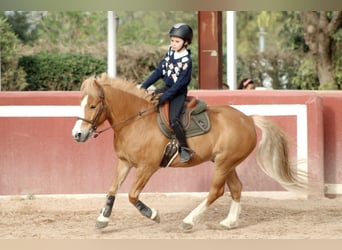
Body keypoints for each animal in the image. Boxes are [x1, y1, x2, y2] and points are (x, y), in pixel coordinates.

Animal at [72, 72, 308, 230]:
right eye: (81, 104)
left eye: (92, 106)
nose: (77, 135)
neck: (135, 121)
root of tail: (248, 119)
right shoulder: (124, 162)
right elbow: (112, 189)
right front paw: (103, 219)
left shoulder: (147, 167)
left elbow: (132, 195)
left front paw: (153, 214)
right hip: (226, 163)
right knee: (236, 188)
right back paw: (229, 222)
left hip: (224, 163)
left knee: (216, 191)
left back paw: (189, 220)